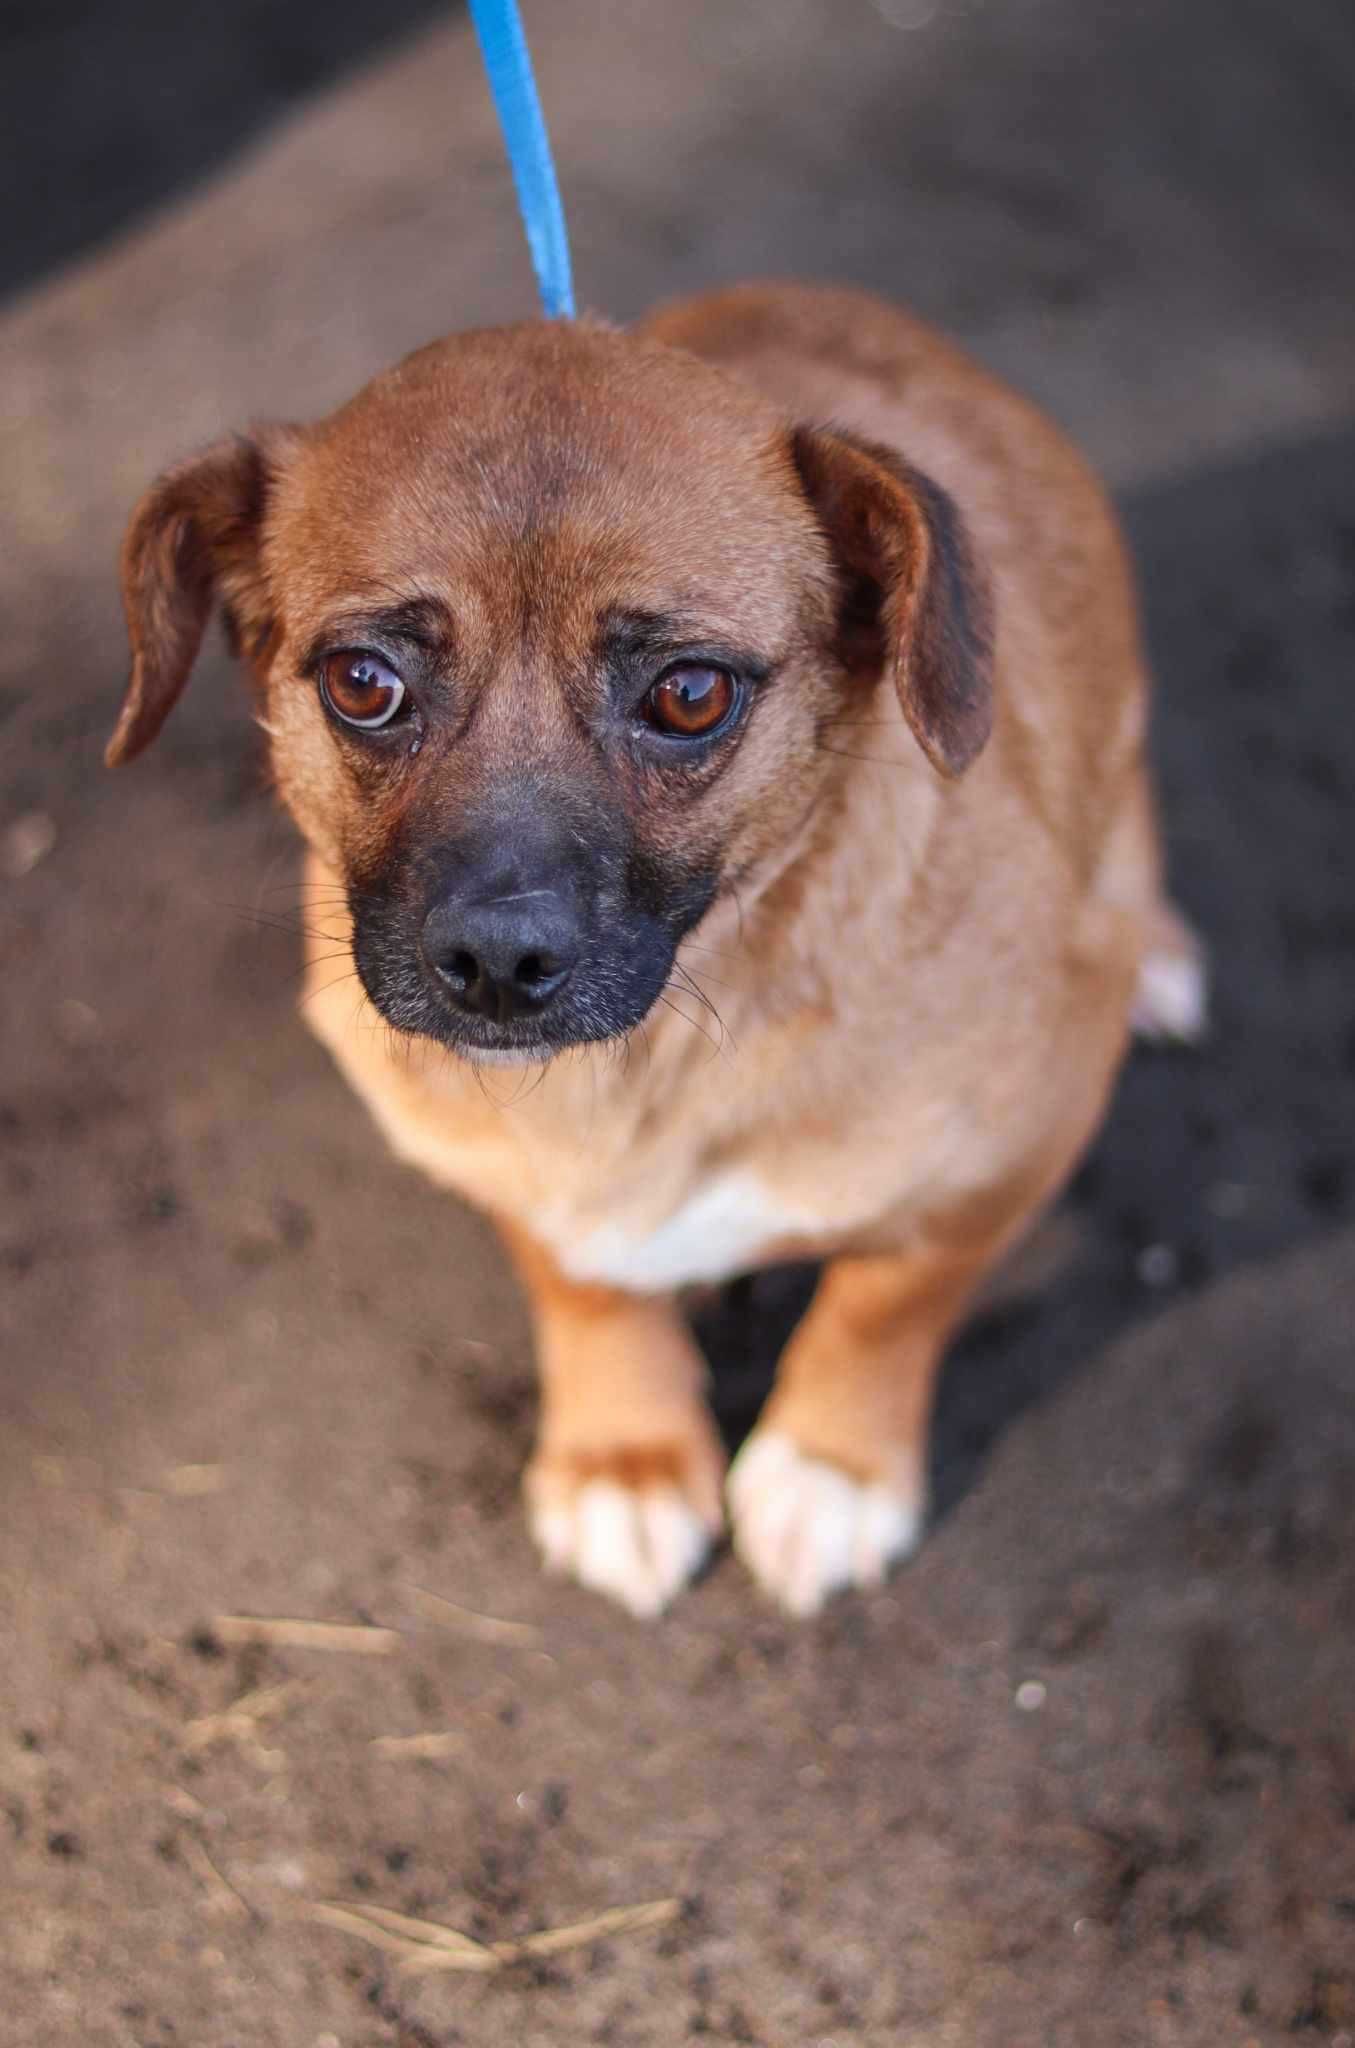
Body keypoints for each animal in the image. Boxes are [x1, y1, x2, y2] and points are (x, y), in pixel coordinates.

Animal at [108, 280, 1211, 1613]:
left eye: (690, 695)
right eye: (361, 682)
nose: (495, 964)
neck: (653, 1057)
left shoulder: (1006, 1158)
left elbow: (883, 1303)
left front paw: (833, 1462)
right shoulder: (504, 1167)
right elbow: (580, 1279)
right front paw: (622, 1452)